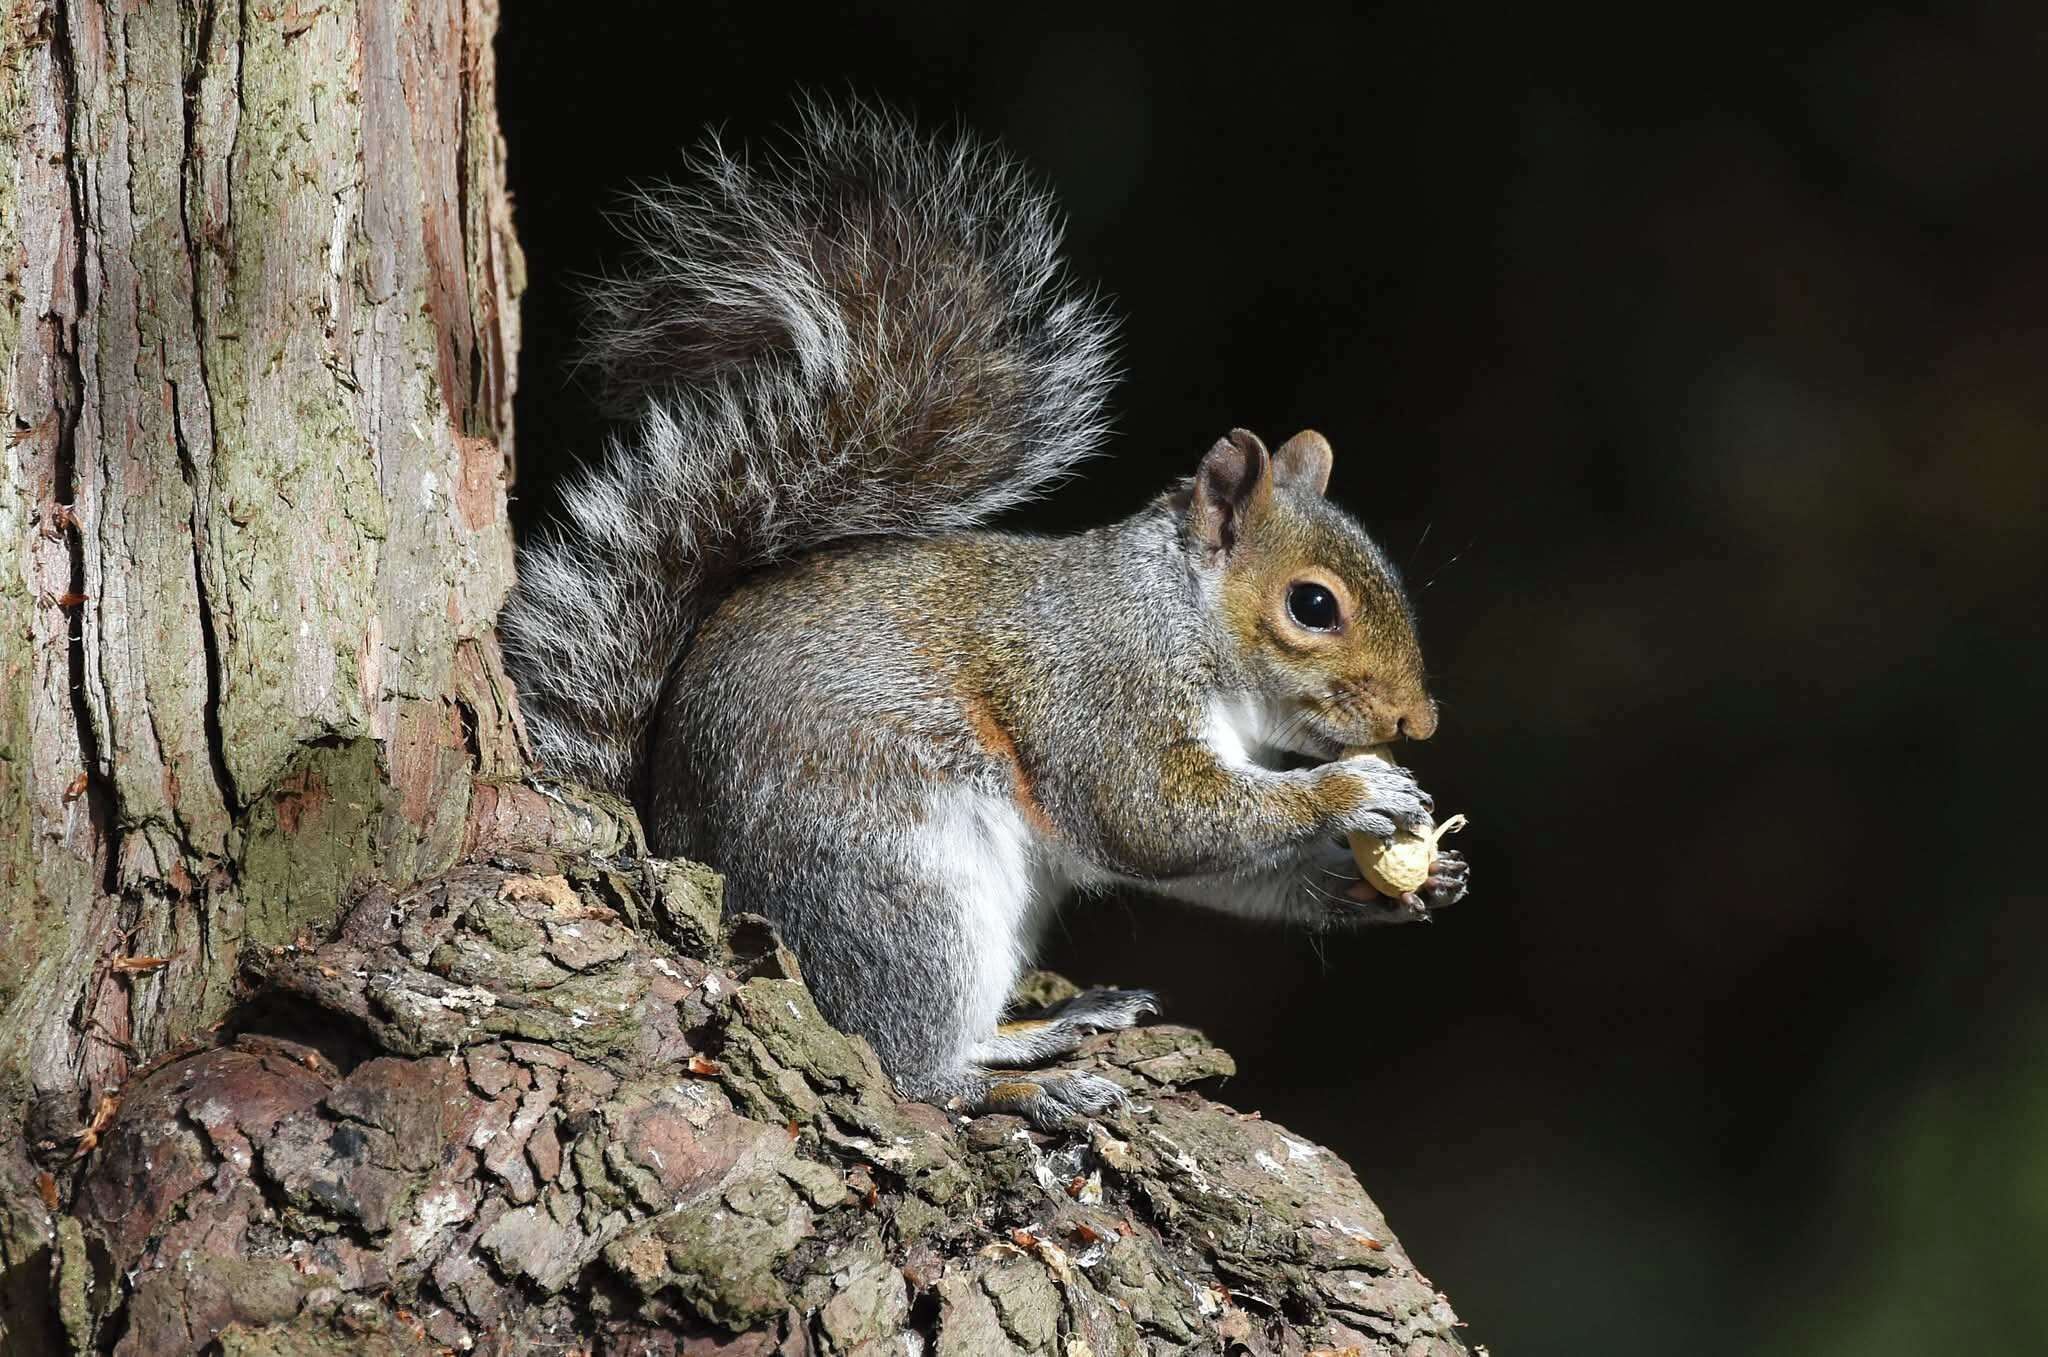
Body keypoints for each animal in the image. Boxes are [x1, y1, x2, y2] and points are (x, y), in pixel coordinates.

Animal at [499, 102, 1469, 1129]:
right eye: (1312, 604)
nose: (1418, 722)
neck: (1177, 614)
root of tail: (674, 839)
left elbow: (1223, 861)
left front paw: (1399, 880)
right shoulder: (1101, 690)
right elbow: (1157, 816)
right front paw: (1357, 789)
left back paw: (1045, 1030)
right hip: (901, 889)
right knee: (903, 1060)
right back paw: (1022, 1083)